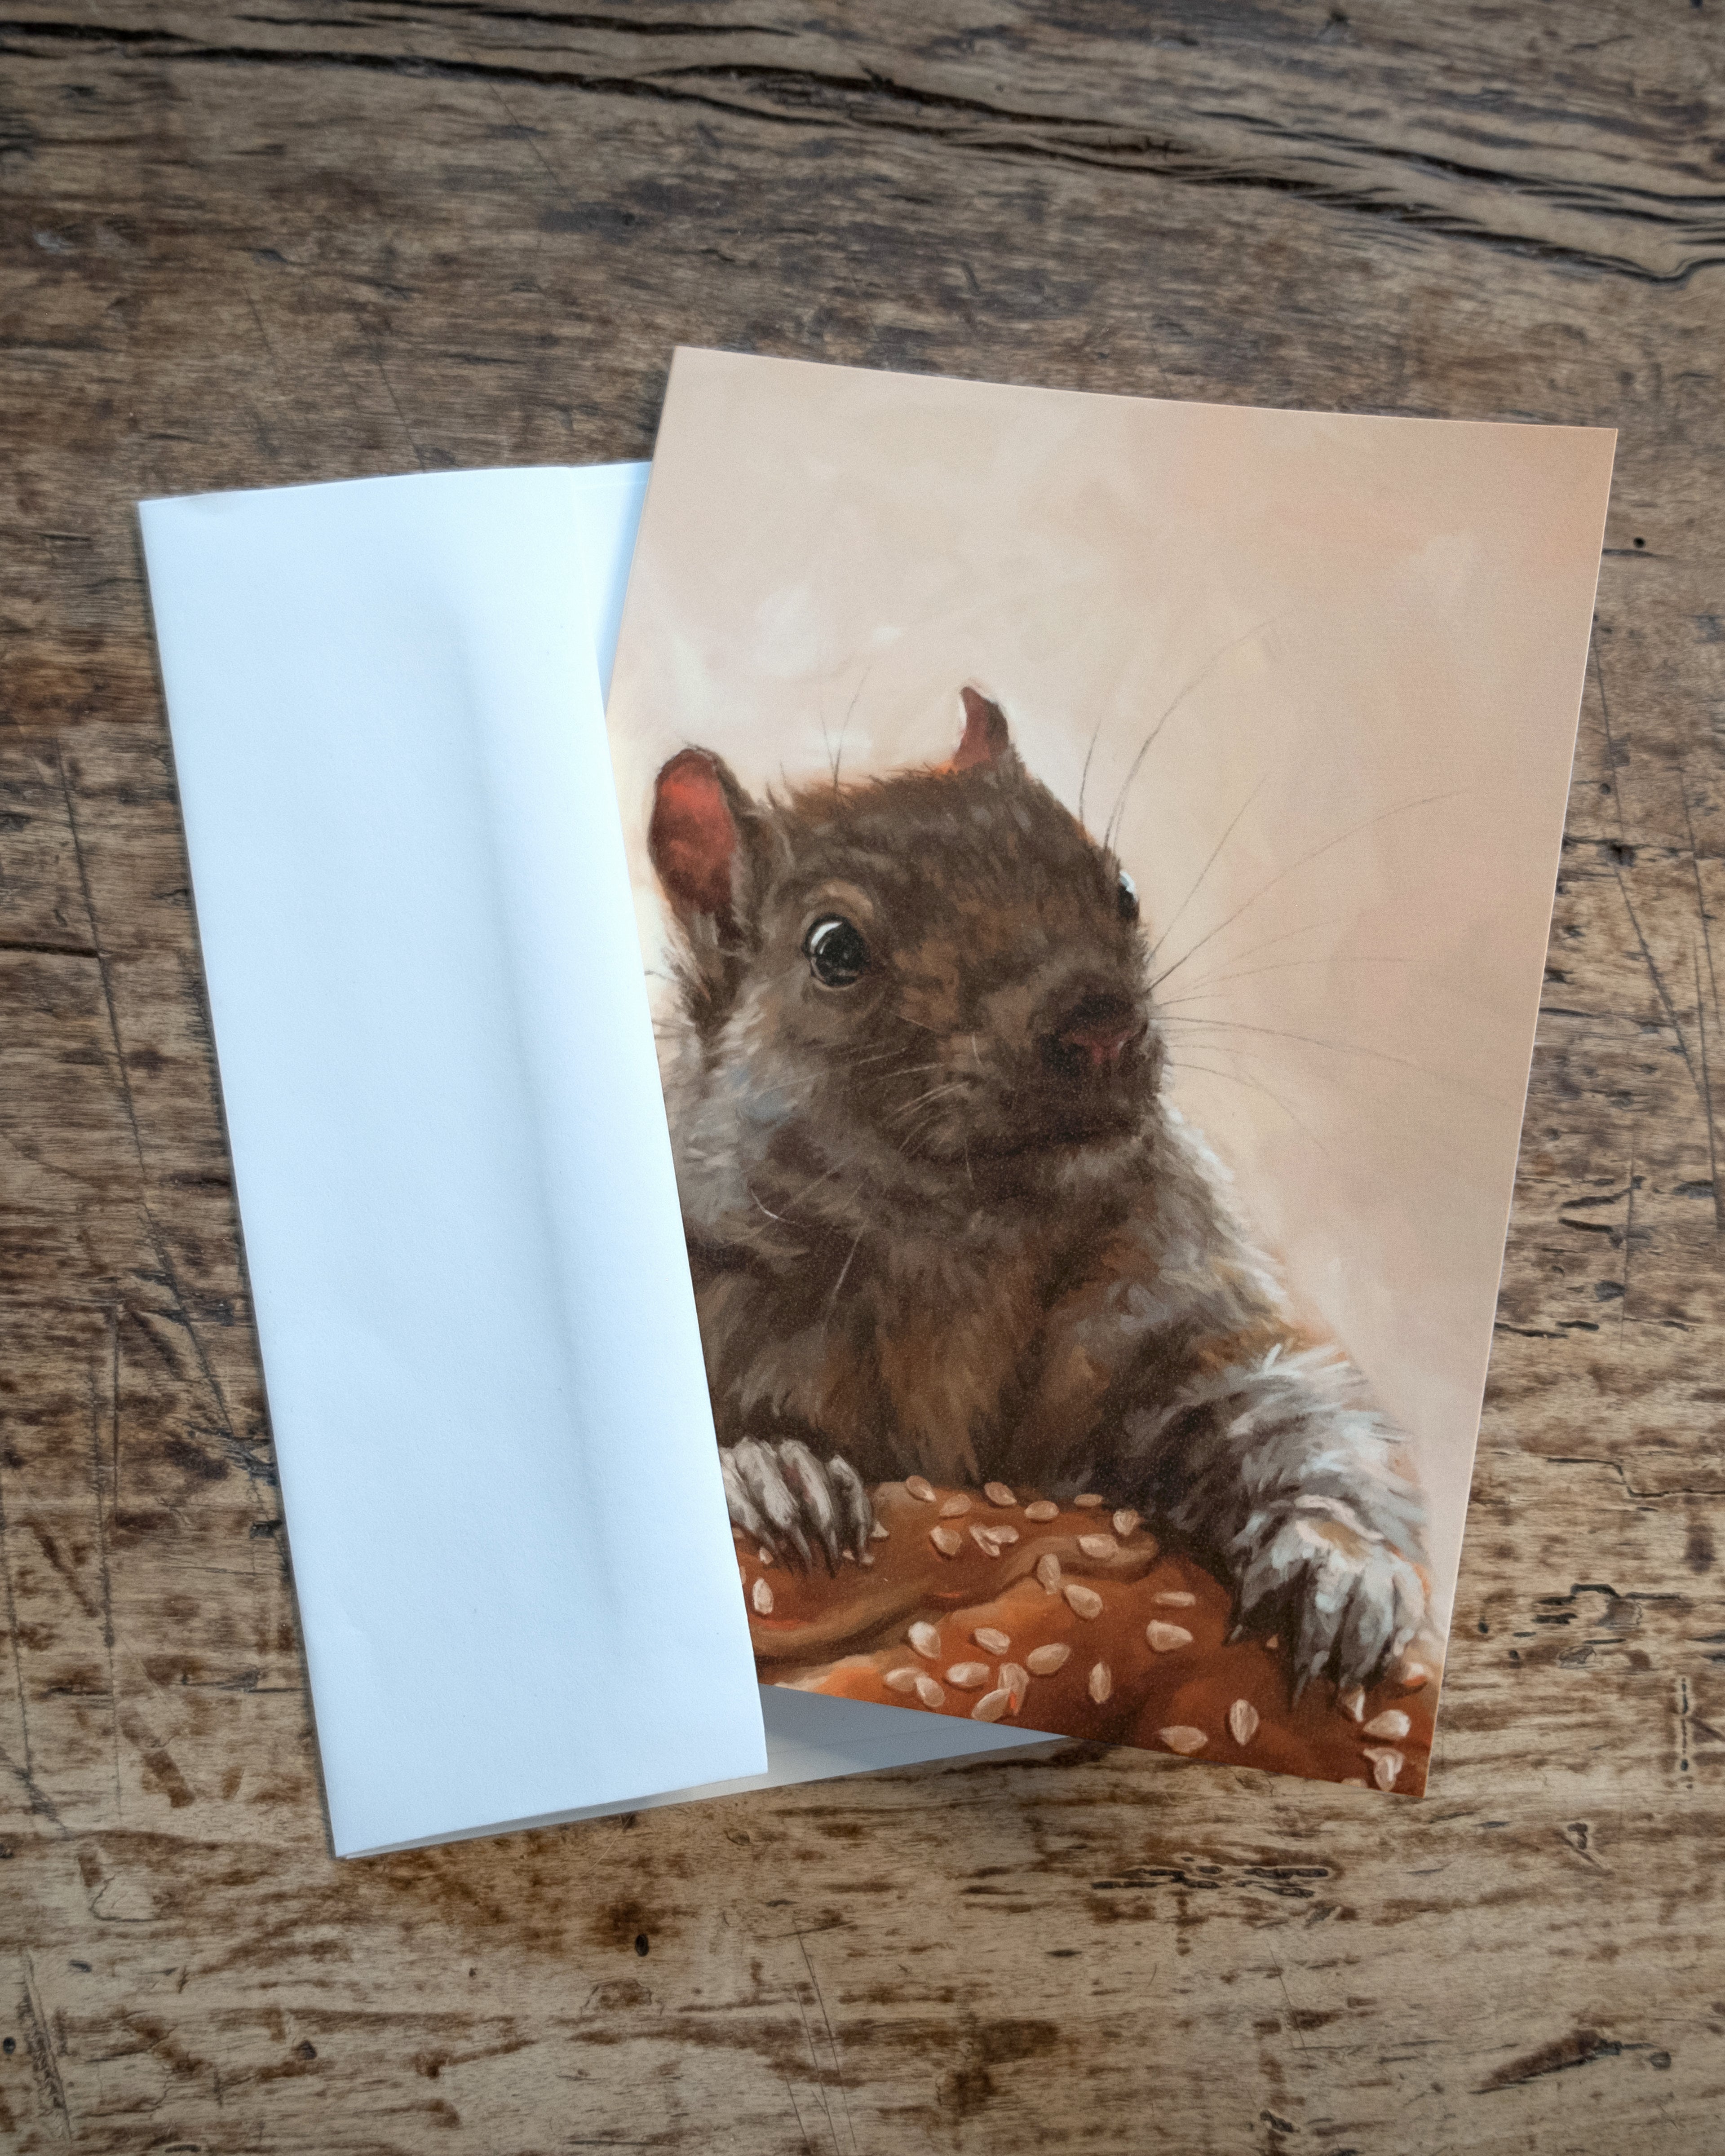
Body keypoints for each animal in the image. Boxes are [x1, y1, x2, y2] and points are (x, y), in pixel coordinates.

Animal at [646, 687, 1429, 1697]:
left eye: (1122, 889)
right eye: (834, 949)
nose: (1101, 1024)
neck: (963, 1243)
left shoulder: (1168, 1302)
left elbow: (1284, 1411)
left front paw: (1341, 1564)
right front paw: (772, 1469)